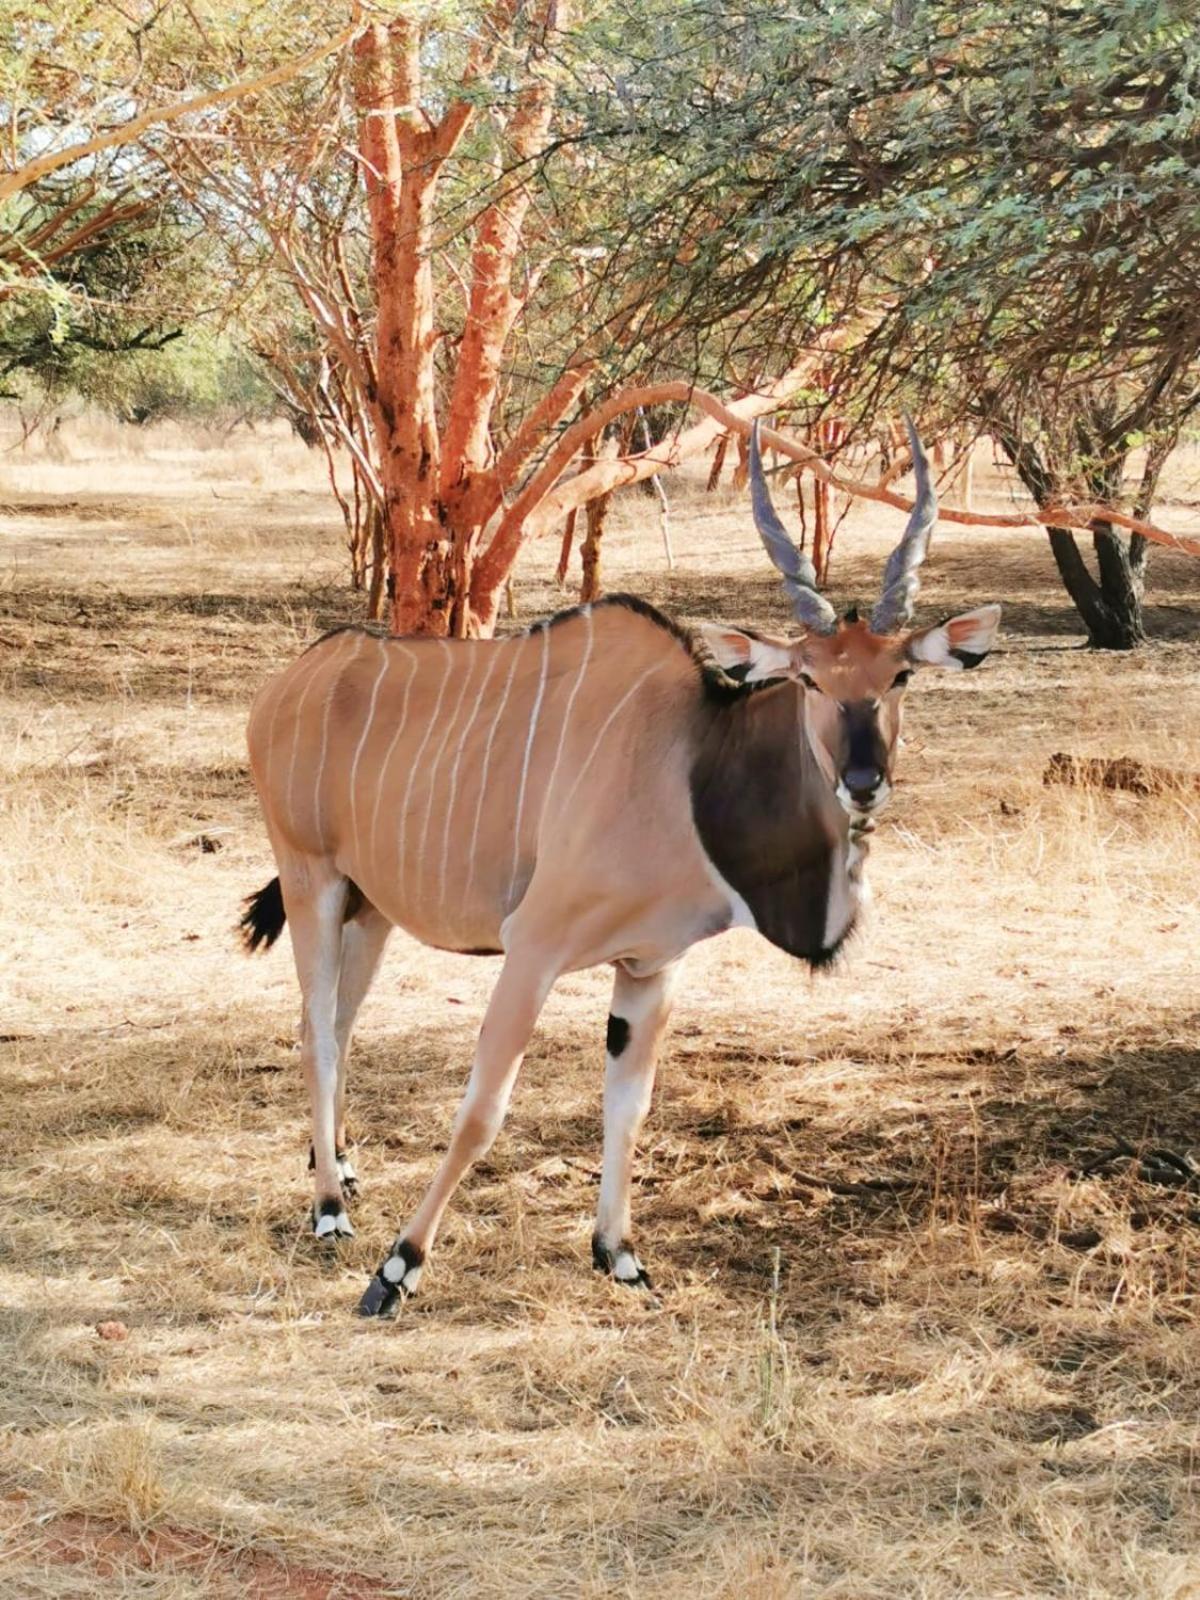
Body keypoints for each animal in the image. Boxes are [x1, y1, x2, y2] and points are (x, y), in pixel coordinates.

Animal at [240, 419, 998, 1318]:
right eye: (810, 678)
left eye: (900, 675)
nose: (862, 780)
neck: (687, 761)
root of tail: (290, 681)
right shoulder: (533, 950)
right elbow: (482, 1111)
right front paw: (397, 1269)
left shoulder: (649, 968)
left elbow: (628, 1109)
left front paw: (619, 1253)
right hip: (310, 880)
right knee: (316, 1029)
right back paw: (328, 1207)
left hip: (372, 906)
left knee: (342, 1020)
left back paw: (343, 1167)